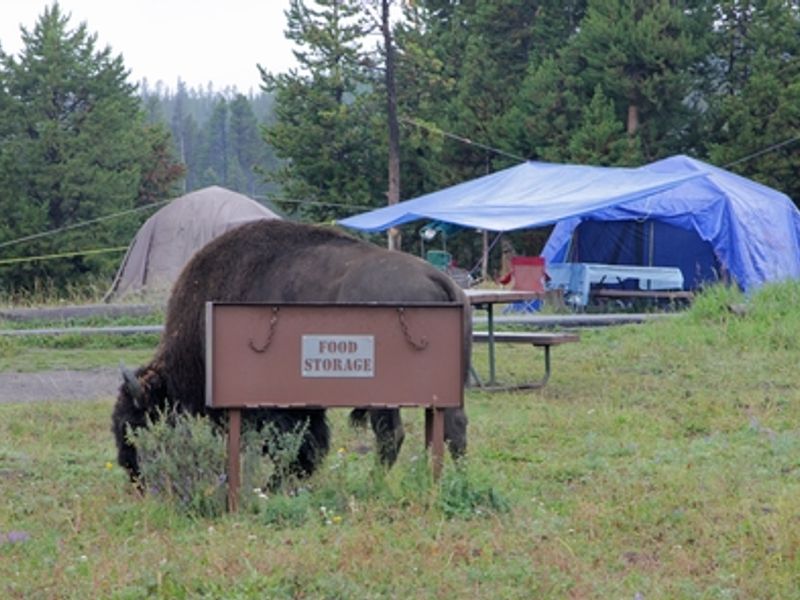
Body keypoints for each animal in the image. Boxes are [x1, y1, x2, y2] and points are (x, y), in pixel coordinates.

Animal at [111, 219, 470, 488]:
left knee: (392, 435)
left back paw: (375, 482)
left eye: (135, 423)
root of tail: (438, 278)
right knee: (450, 427)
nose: (132, 473)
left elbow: (293, 445)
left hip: (384, 395)